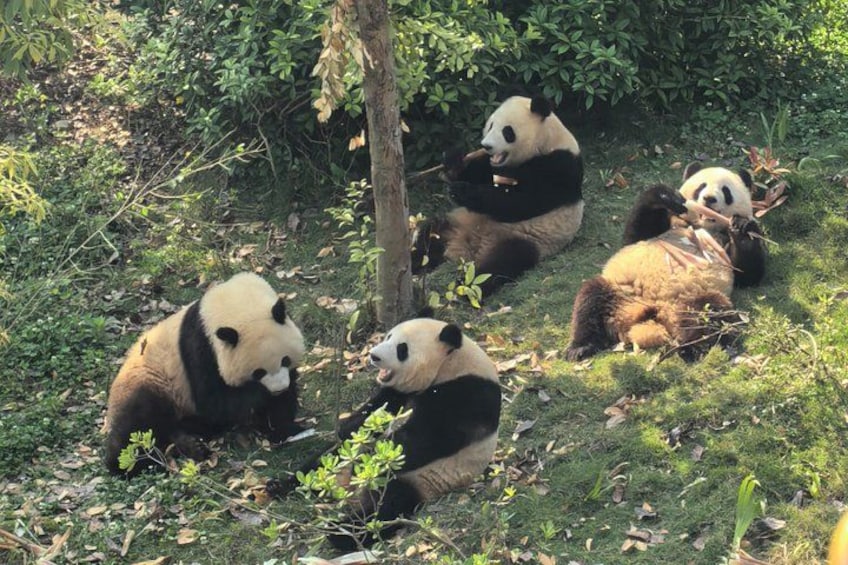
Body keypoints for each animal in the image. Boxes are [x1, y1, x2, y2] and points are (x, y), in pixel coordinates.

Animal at [103, 272, 306, 476]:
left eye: (285, 360)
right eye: (258, 372)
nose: (279, 389)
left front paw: (284, 429)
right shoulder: (201, 350)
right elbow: (214, 402)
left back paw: (189, 442)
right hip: (149, 380)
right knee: (137, 422)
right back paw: (131, 462)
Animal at [268, 316, 501, 550]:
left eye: (402, 349)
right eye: (388, 336)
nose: (374, 355)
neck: (451, 364)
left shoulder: (466, 394)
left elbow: (427, 439)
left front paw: (374, 457)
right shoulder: (398, 392)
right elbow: (372, 414)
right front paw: (350, 431)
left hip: (419, 479)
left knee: (387, 505)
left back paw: (342, 531)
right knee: (322, 462)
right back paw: (281, 486)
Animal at [411, 95, 584, 297]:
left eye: (507, 131)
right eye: (491, 125)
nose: (486, 146)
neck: (545, 141)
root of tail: (468, 249)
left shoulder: (560, 166)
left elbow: (524, 203)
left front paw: (463, 192)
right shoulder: (491, 164)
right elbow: (477, 173)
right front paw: (452, 161)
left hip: (525, 239)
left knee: (500, 264)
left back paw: (465, 288)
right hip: (456, 222)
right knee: (430, 234)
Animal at [566, 163, 767, 361]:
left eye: (726, 191)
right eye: (701, 187)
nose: (709, 198)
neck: (702, 227)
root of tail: (653, 310)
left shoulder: (723, 242)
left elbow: (748, 275)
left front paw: (742, 228)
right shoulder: (667, 226)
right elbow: (635, 234)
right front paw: (665, 196)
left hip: (693, 298)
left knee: (709, 313)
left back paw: (691, 349)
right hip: (619, 290)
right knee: (590, 301)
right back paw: (580, 347)